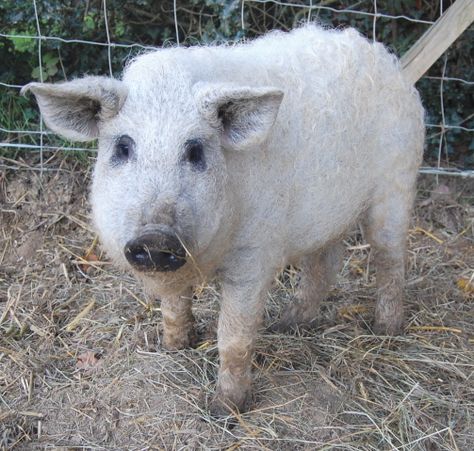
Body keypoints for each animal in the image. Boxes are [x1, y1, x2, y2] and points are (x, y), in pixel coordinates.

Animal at [22, 23, 424, 414]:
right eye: (122, 147)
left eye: (196, 150)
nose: (155, 237)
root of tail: (384, 58)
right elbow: (174, 305)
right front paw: (174, 346)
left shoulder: (254, 256)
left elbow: (234, 336)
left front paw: (224, 408)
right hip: (328, 214)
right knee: (326, 262)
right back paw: (286, 323)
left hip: (396, 185)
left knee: (390, 258)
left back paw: (386, 329)